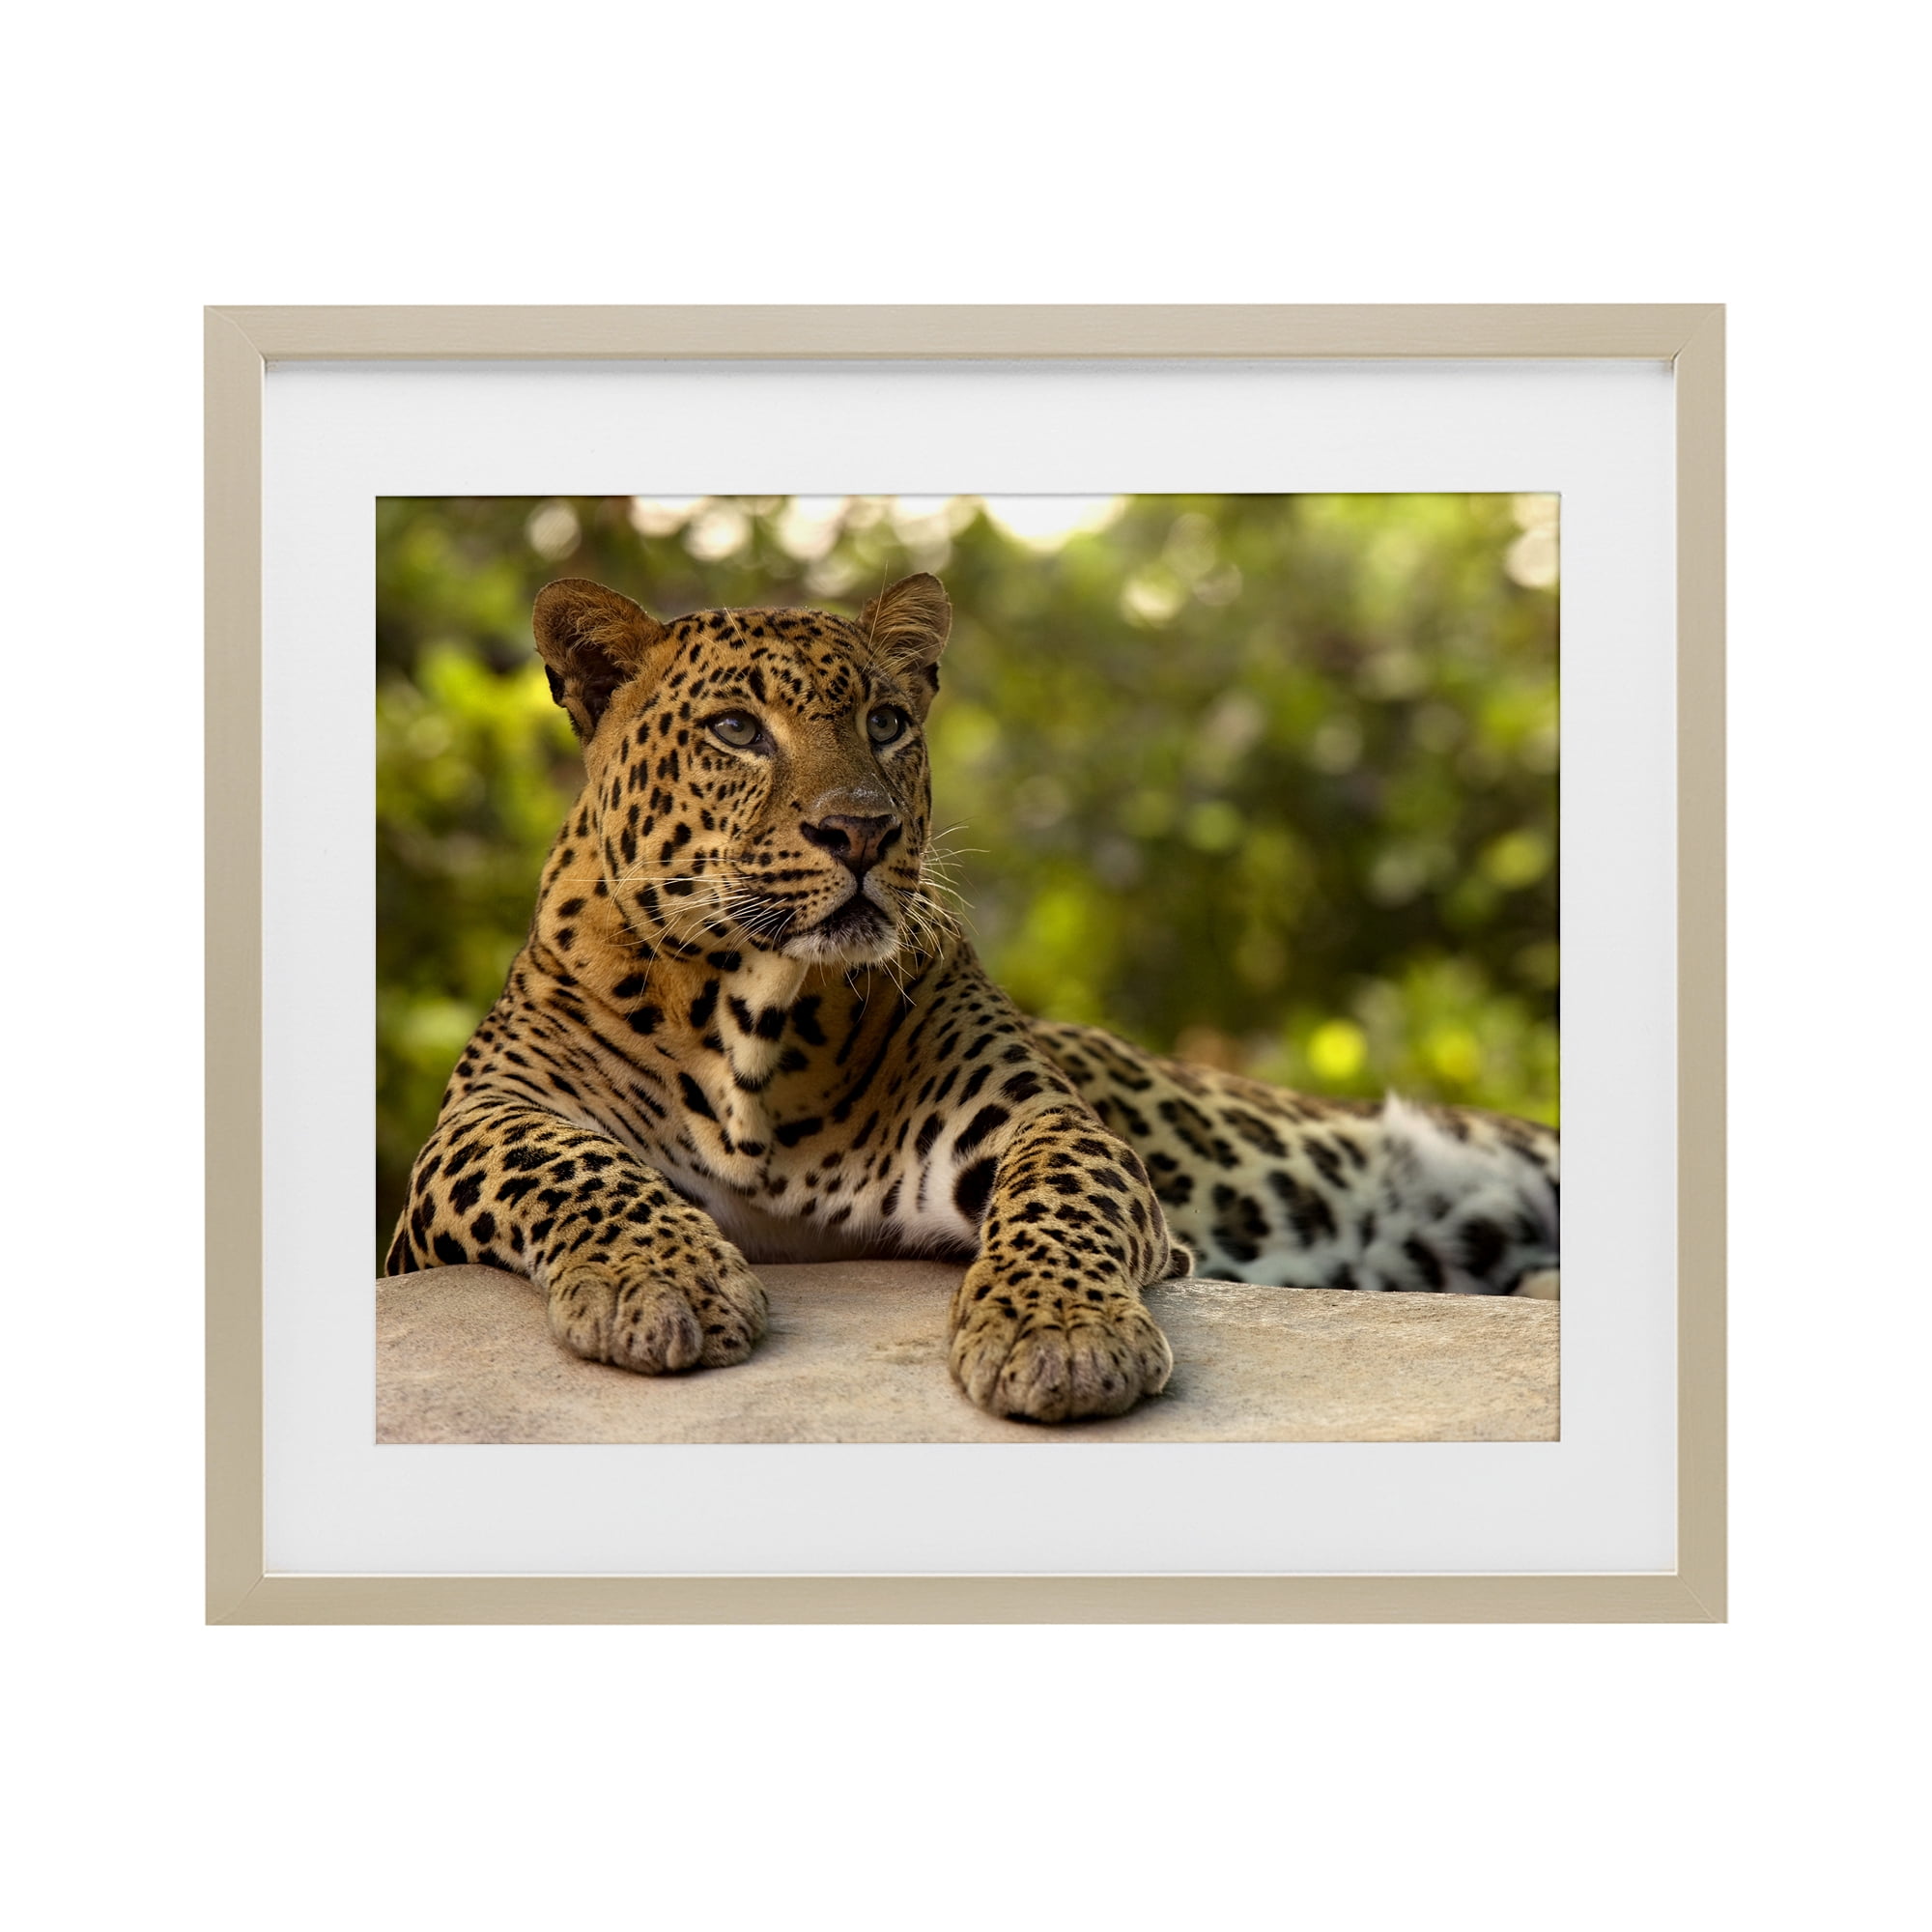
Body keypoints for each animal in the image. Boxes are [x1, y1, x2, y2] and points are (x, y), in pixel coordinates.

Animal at [386, 572, 1559, 1423]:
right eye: (735, 729)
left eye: (886, 721)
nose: (861, 831)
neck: (755, 1016)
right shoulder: (471, 1133)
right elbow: (564, 1161)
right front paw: (661, 1281)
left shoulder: (1031, 1117)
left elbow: (1058, 1193)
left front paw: (1059, 1336)